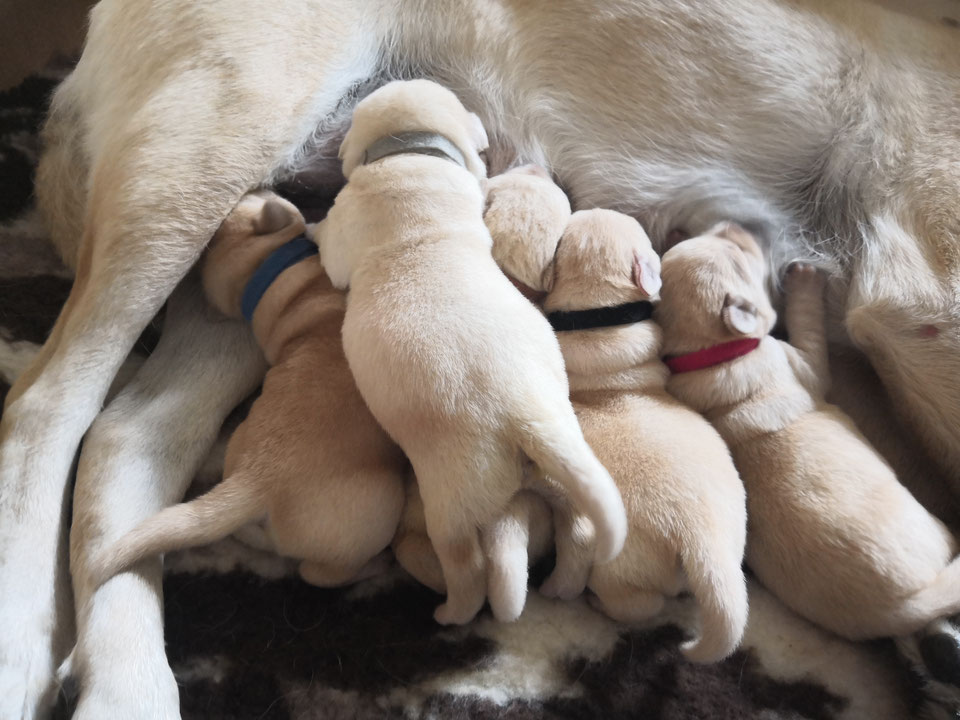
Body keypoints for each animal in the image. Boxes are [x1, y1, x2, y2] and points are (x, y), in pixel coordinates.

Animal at [90, 191, 404, 592]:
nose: (256, 187)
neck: (273, 276)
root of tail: (255, 482)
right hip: (376, 509)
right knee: (318, 573)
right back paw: (377, 566)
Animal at [316, 79, 632, 628]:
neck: (412, 152)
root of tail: (526, 419)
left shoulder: (344, 228)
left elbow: (328, 251)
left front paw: (308, 226)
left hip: (452, 500)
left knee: (466, 567)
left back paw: (449, 614)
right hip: (569, 471)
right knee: (578, 531)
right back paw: (561, 587)